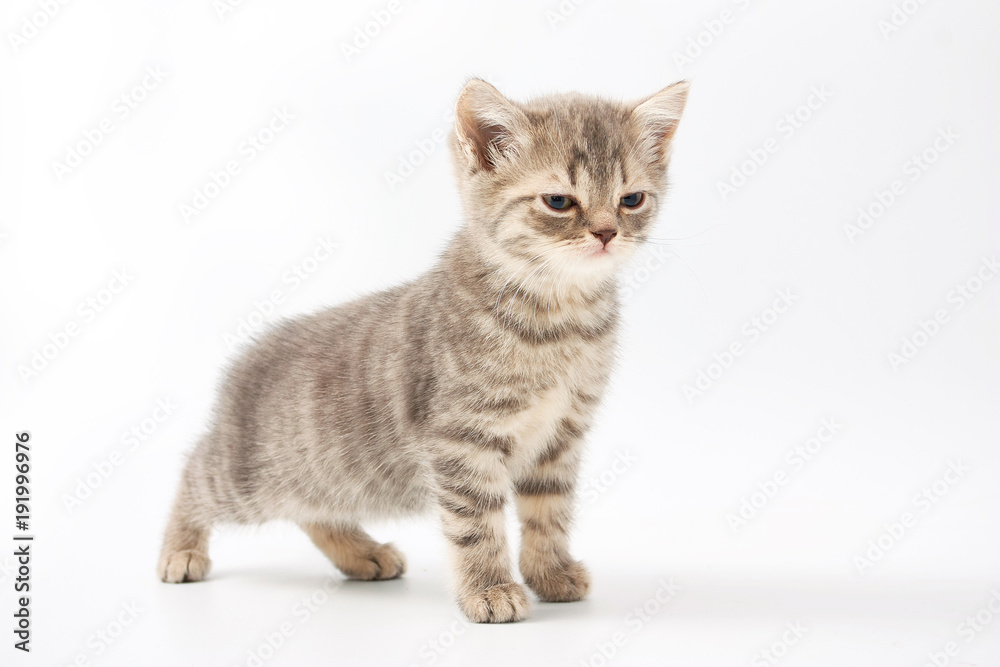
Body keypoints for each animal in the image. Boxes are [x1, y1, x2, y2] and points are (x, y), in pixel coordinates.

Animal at [160, 79, 692, 628]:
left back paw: (363, 554)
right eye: (559, 201)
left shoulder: (560, 438)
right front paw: (489, 589)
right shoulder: (462, 438)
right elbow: (477, 523)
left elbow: (550, 513)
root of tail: (247, 358)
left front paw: (550, 573)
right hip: (248, 476)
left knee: (313, 512)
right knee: (193, 470)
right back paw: (180, 550)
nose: (607, 232)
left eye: (631, 199)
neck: (559, 317)